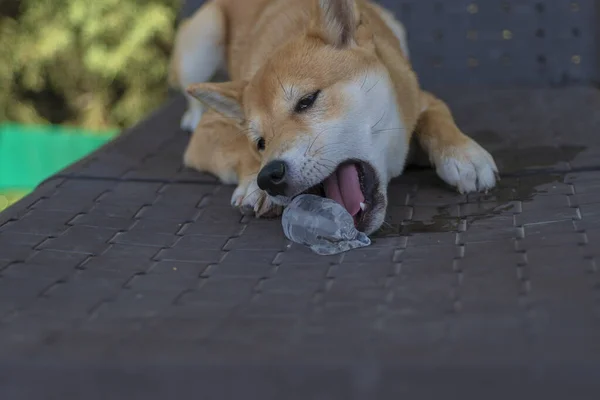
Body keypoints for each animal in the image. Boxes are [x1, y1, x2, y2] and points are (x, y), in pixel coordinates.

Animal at [169, 0, 496, 234]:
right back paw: (191, 116)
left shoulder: (419, 97)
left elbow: (437, 117)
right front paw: (253, 185)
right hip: (203, 40)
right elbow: (235, 147)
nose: (269, 176)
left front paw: (463, 153)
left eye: (307, 101)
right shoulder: (210, 130)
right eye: (260, 143)